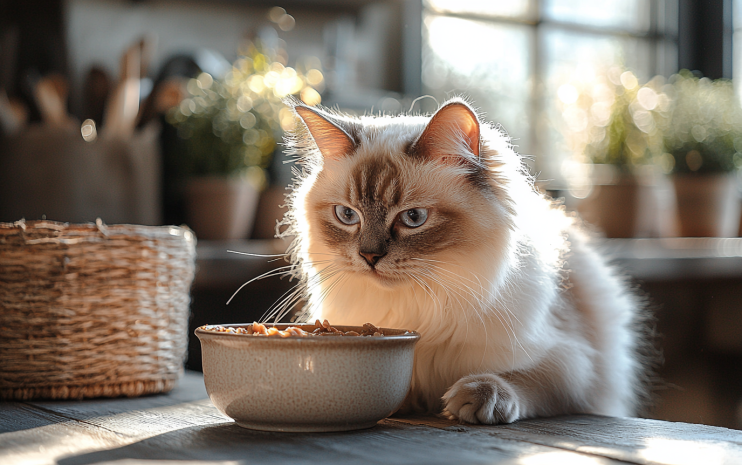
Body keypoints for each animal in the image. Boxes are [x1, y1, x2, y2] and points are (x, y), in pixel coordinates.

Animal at [280, 96, 652, 422]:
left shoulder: (573, 363)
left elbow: (517, 378)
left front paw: (475, 398)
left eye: (413, 218)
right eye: (347, 215)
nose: (369, 256)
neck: (420, 303)